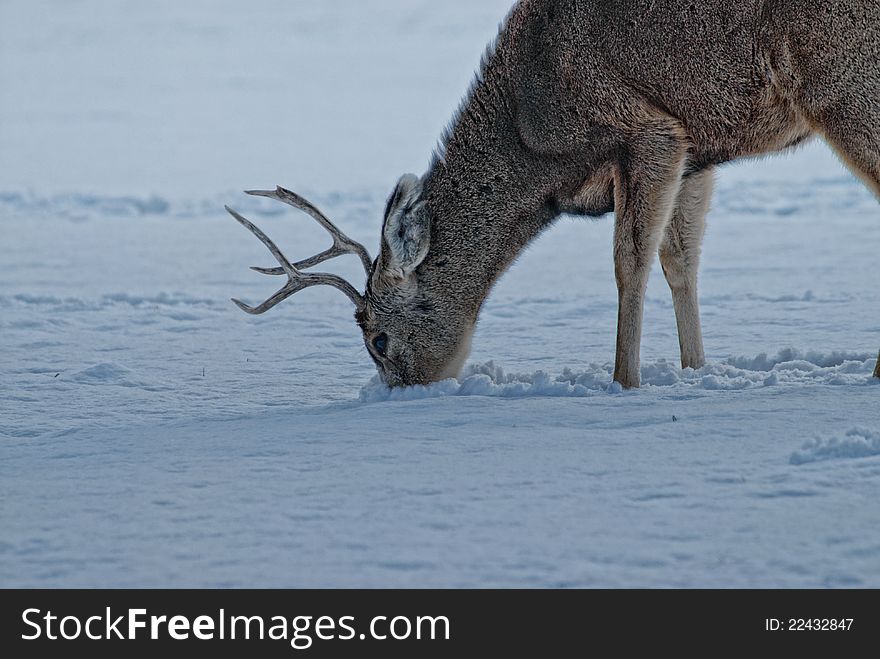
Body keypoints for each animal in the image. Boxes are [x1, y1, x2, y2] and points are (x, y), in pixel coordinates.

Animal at [227, 0, 880, 390]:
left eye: (379, 340)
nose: (398, 394)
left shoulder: (648, 129)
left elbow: (630, 263)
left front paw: (625, 382)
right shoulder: (696, 147)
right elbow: (680, 260)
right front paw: (696, 371)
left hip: (844, 83)